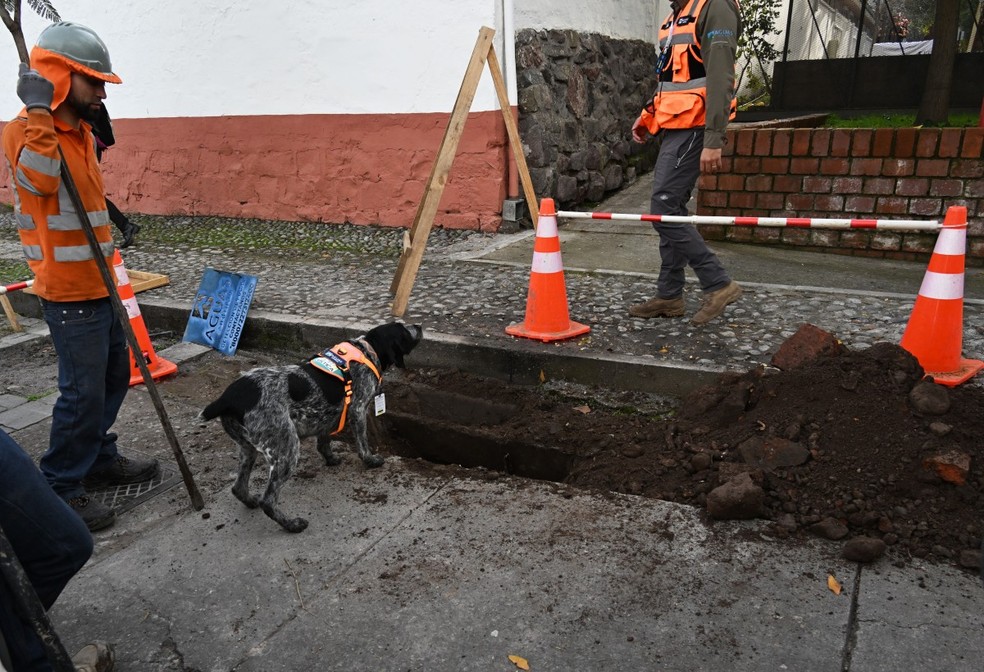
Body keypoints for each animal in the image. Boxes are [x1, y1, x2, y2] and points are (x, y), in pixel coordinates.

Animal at [202, 322, 420, 532]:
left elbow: (324, 442)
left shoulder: (329, 416)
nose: (419, 326)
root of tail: (227, 399)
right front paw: (370, 460)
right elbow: (362, 444)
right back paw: (292, 525)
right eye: (403, 329)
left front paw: (331, 459)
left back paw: (250, 501)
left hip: (247, 448)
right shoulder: (357, 410)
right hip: (286, 448)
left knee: (238, 487)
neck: (367, 350)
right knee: (268, 500)